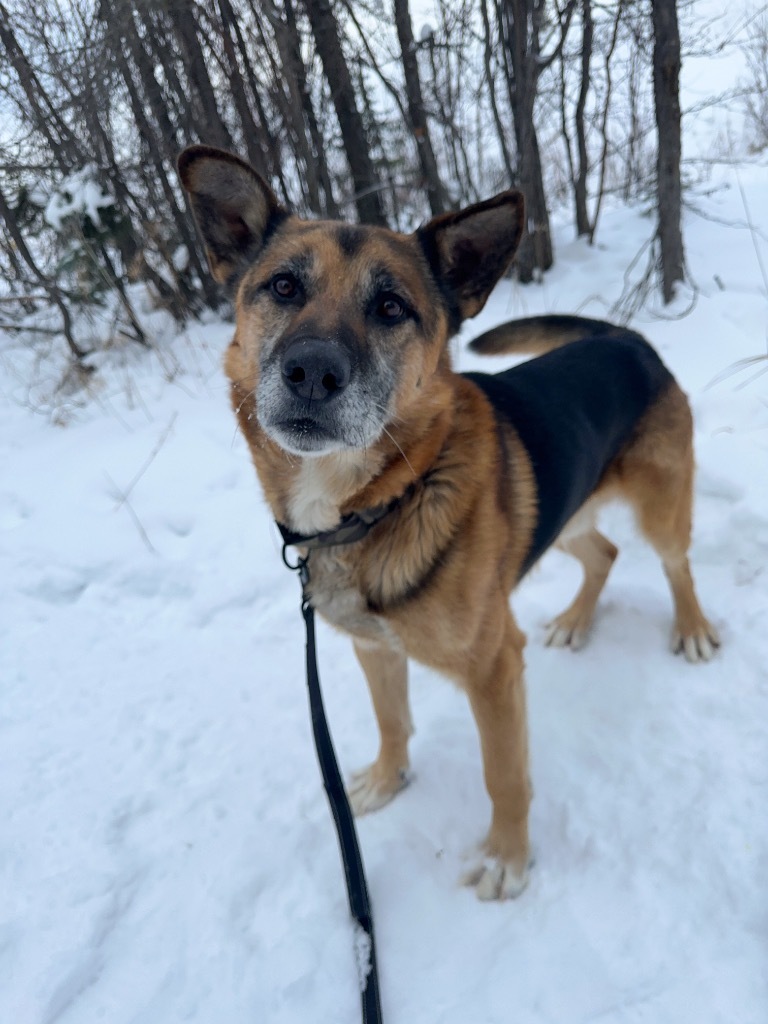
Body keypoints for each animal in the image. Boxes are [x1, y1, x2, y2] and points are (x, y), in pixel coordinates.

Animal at [177, 144, 720, 897]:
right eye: (284, 287)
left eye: (390, 307)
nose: (312, 372)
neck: (379, 502)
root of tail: (627, 336)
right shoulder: (374, 648)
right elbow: (391, 722)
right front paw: (386, 781)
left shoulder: (494, 670)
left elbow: (504, 775)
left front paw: (507, 858)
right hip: (563, 510)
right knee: (604, 553)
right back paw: (575, 621)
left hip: (660, 509)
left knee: (674, 563)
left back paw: (691, 628)